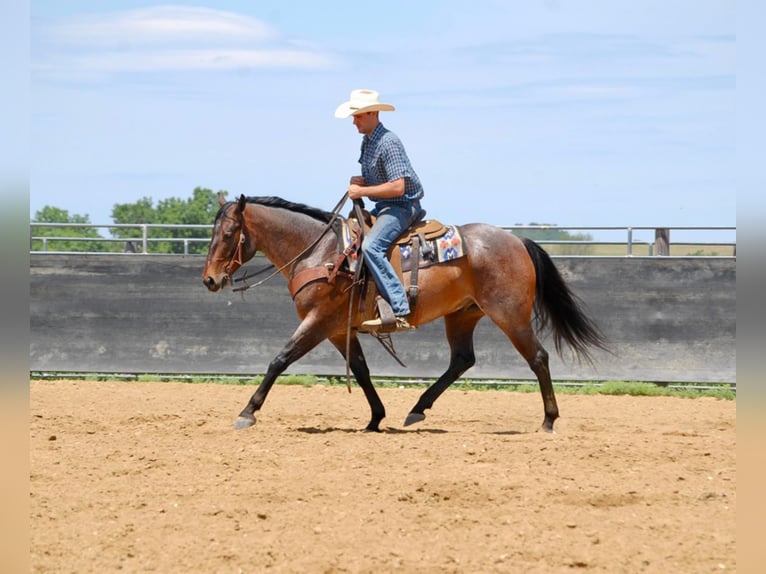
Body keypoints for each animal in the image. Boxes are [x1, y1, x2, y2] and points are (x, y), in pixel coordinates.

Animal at [201, 196, 608, 434]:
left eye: (229, 233)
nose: (210, 279)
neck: (324, 253)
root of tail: (515, 240)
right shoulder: (339, 330)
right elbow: (361, 370)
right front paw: (375, 418)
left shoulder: (319, 321)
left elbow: (279, 359)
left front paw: (247, 412)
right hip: (462, 315)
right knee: (462, 360)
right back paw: (417, 409)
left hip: (510, 315)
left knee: (537, 357)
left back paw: (549, 420)